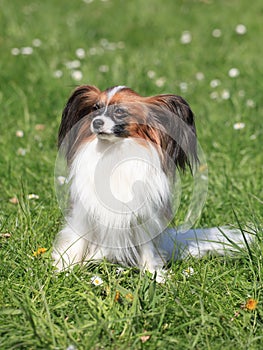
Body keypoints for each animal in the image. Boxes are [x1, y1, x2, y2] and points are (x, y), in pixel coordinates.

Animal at [52, 85, 254, 282]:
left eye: (120, 112)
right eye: (96, 108)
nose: (96, 122)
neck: (114, 150)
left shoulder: (144, 216)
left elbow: (147, 249)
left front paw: (153, 275)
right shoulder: (84, 215)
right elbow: (77, 244)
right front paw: (65, 270)